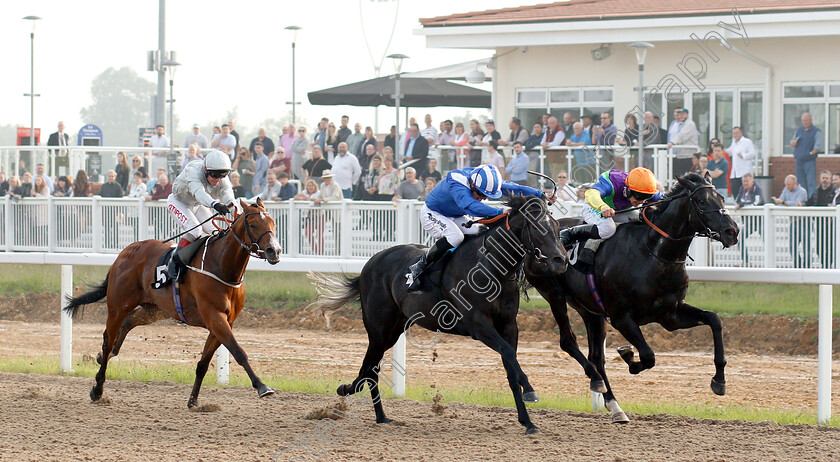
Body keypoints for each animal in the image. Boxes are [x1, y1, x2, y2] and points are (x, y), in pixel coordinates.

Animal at [65, 197, 282, 406]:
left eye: (272, 222)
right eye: (253, 224)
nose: (275, 251)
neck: (221, 265)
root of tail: (125, 252)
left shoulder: (223, 322)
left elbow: (203, 364)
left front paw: (193, 400)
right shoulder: (215, 317)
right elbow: (238, 351)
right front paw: (262, 387)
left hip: (154, 310)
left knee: (127, 323)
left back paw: (104, 357)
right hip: (118, 305)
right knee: (108, 339)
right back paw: (97, 389)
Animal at [312, 194, 568, 434]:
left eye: (557, 227)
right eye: (538, 228)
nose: (561, 260)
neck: (492, 267)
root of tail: (369, 264)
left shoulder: (508, 326)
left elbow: (511, 366)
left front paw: (528, 422)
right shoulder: (479, 325)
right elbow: (508, 354)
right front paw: (531, 392)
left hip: (395, 328)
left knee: (370, 368)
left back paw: (377, 413)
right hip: (379, 329)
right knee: (371, 368)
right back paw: (363, 401)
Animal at [528, 172, 740, 422]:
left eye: (722, 198)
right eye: (701, 202)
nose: (732, 231)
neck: (654, 254)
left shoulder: (670, 314)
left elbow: (714, 319)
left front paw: (719, 381)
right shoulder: (622, 317)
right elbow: (648, 356)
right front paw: (628, 356)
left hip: (590, 310)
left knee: (596, 356)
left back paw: (614, 405)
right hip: (554, 294)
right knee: (568, 341)